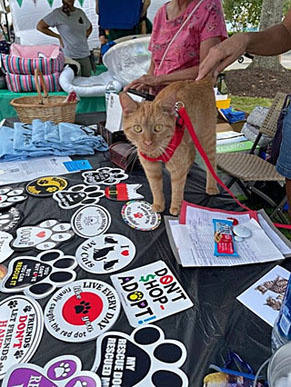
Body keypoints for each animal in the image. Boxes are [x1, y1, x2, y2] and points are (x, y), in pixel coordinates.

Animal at [119, 76, 219, 215]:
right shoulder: (151, 168)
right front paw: (158, 204)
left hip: (206, 138)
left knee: (211, 163)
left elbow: (177, 189)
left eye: (158, 128)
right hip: (189, 139)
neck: (157, 152)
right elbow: (155, 188)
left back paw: (211, 187)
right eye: (138, 128)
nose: (148, 142)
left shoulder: (176, 168)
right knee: (191, 155)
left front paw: (176, 207)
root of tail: (202, 80)